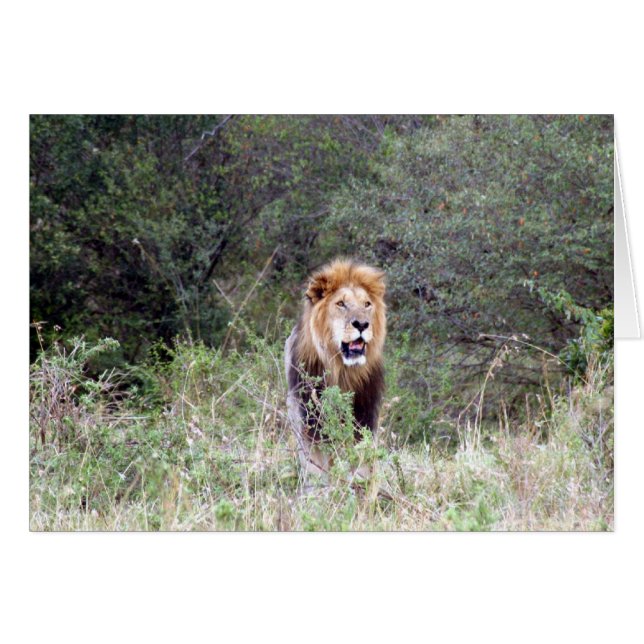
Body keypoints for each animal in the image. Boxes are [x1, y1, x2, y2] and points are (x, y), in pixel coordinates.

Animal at [284, 259, 386, 482]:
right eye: (341, 304)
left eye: (367, 304)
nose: (362, 324)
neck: (343, 372)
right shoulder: (310, 426)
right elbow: (316, 468)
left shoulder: (364, 420)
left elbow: (362, 465)